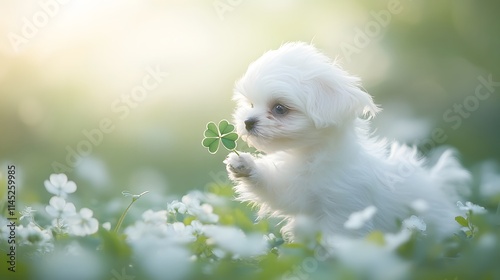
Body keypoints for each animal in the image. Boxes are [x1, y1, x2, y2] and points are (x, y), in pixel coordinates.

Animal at [225, 41, 470, 238]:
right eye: (251, 104)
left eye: (279, 108)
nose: (248, 122)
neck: (313, 157)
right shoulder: (298, 194)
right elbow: (277, 191)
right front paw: (243, 165)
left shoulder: (346, 207)